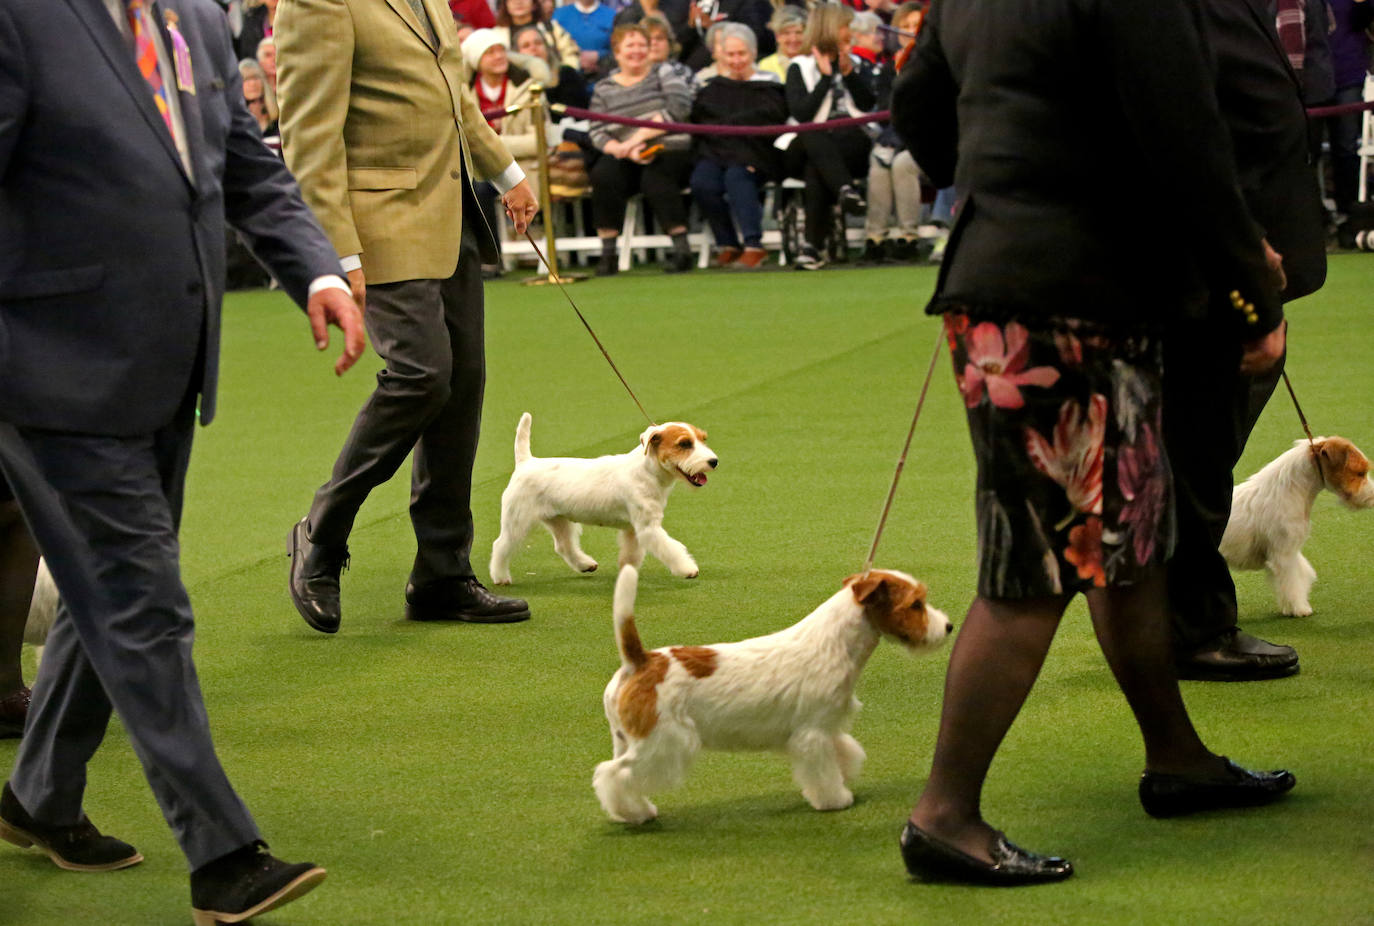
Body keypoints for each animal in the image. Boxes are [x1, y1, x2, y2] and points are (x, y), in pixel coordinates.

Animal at [489, 412, 719, 585]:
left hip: (559, 520)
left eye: (703, 439)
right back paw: (500, 577)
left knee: (564, 546)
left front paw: (627, 574)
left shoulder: (633, 529)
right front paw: (688, 569)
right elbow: (671, 548)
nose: (713, 461)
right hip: (517, 521)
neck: (648, 472)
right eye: (684, 443)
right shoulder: (648, 528)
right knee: (501, 546)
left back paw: (585, 564)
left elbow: (630, 556)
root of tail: (526, 462)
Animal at [590, 563, 956, 824]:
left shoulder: (827, 726)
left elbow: (844, 750)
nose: (948, 626)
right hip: (661, 742)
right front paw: (835, 798)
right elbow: (823, 770)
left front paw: (846, 771)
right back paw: (635, 813)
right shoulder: (812, 733)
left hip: (626, 738)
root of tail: (639, 661)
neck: (835, 643)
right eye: (916, 604)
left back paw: (636, 809)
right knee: (613, 774)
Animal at [1225, 436, 1374, 615]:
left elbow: (1301, 574)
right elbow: (1292, 583)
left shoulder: (1292, 551)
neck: (1290, 490)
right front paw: (1300, 609)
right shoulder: (1284, 554)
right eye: (1360, 473)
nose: (1373, 496)